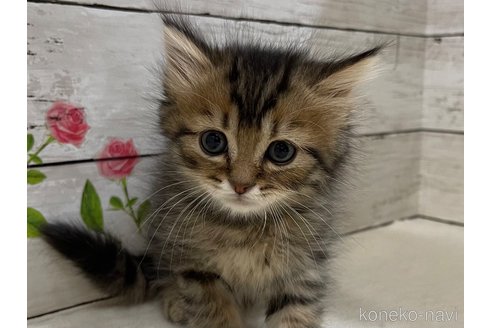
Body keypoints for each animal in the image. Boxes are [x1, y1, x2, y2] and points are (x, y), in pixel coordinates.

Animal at [41, 14, 380, 326]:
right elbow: (213, 313)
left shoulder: (302, 270)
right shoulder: (195, 268)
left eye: (281, 152)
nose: (241, 185)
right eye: (213, 142)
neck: (243, 230)